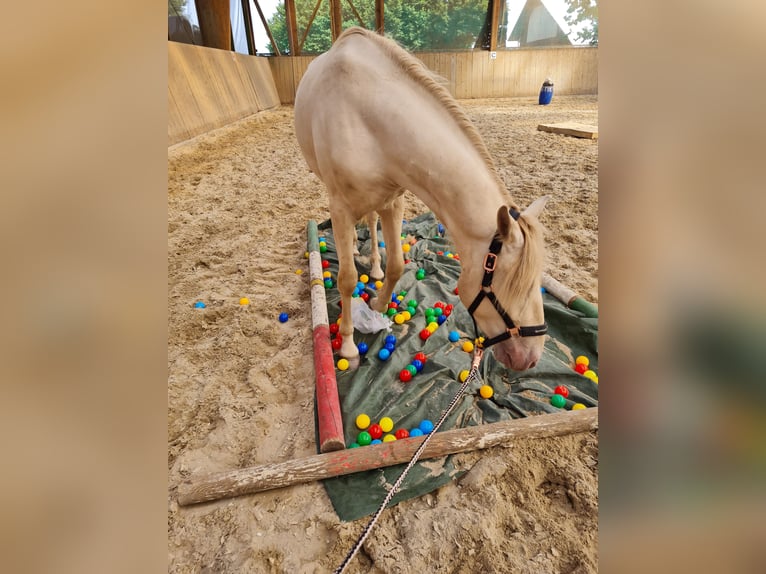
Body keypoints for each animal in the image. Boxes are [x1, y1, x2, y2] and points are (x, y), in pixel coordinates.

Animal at [296, 28, 552, 374]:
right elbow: (347, 280)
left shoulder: (393, 202)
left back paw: (372, 266)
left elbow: (396, 265)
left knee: (372, 225)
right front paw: (348, 346)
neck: (367, 119)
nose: (531, 358)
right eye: (513, 286)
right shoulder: (341, 207)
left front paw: (378, 303)